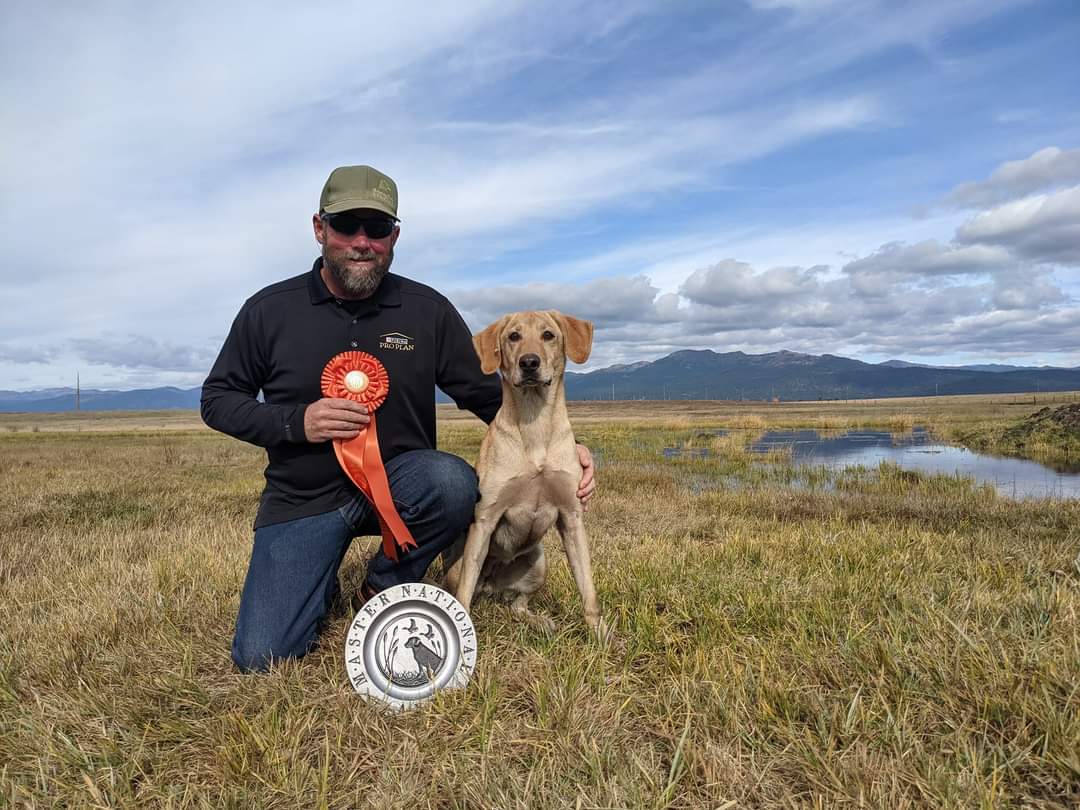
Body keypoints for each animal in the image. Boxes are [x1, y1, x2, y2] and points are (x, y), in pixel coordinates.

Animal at [440, 311, 609, 639]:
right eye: (513, 336)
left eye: (548, 335)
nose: (529, 362)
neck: (535, 423)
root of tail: (491, 587)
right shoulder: (485, 519)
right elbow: (463, 596)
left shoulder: (572, 518)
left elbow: (589, 590)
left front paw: (600, 634)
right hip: (459, 568)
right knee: (469, 590)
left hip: (538, 563)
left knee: (518, 604)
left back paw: (538, 622)